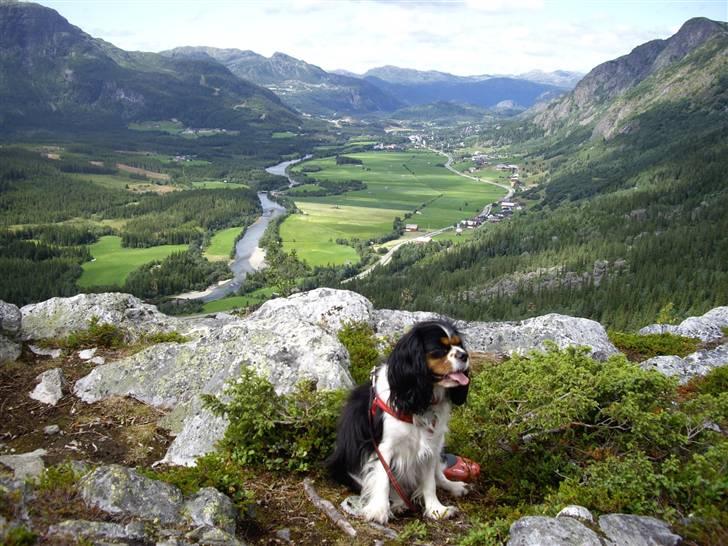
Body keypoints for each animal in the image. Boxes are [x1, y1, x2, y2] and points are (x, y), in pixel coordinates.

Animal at [326, 318, 472, 524]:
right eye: (439, 349)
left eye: (459, 344)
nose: (464, 355)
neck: (420, 400)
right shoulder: (383, 448)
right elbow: (383, 479)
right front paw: (379, 511)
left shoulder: (431, 447)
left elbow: (430, 482)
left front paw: (436, 510)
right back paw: (397, 502)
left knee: (438, 474)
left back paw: (454, 486)